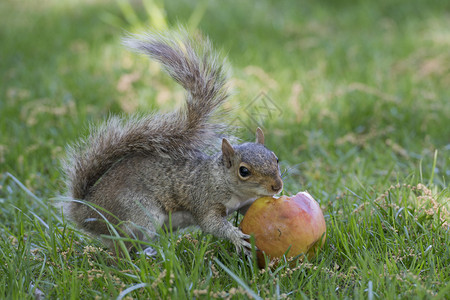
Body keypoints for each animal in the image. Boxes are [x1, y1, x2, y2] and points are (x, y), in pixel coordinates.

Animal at [62, 29, 284, 255]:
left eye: (276, 159)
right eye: (244, 171)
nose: (277, 187)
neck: (222, 179)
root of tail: (85, 211)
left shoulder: (247, 202)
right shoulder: (204, 199)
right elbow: (211, 224)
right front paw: (237, 238)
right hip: (138, 215)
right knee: (120, 248)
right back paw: (145, 255)